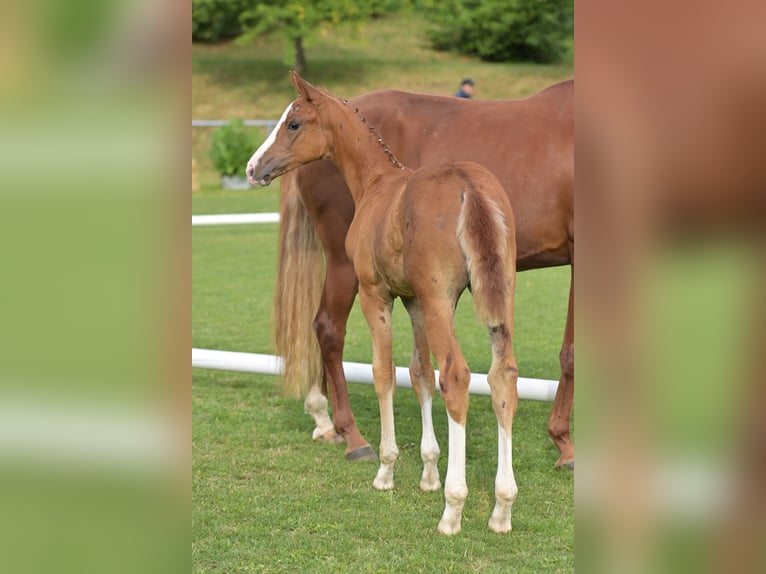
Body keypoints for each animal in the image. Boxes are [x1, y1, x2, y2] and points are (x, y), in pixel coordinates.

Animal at [248, 71, 520, 535]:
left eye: (294, 123)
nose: (253, 168)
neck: (376, 184)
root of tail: (470, 187)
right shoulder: (414, 302)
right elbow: (419, 373)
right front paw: (428, 472)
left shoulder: (377, 294)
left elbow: (384, 373)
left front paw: (387, 469)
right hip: (493, 298)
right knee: (502, 377)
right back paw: (501, 507)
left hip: (439, 300)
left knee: (458, 377)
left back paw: (454, 508)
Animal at [271, 78, 575, 467]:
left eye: (294, 124)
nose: (257, 166)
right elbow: (570, 353)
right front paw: (564, 443)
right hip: (346, 266)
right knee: (328, 329)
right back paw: (347, 432)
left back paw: (329, 424)